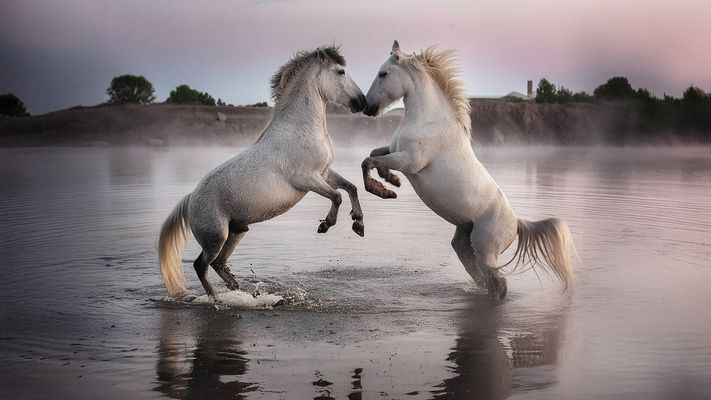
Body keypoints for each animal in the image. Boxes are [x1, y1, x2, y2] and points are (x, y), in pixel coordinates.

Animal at [158, 46, 367, 299]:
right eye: (340, 71)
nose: (362, 101)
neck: (302, 126)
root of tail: (190, 199)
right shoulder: (306, 179)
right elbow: (337, 196)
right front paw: (325, 225)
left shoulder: (324, 173)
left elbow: (351, 188)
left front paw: (359, 225)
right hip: (215, 237)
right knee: (201, 266)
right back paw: (217, 299)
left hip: (237, 231)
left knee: (218, 264)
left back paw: (242, 292)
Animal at [361, 41, 574, 299]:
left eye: (383, 74)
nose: (367, 107)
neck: (427, 119)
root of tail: (517, 223)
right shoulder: (394, 152)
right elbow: (373, 156)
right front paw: (390, 181)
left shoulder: (410, 162)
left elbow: (367, 162)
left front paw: (380, 191)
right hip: (463, 242)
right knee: (484, 278)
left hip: (485, 250)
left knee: (499, 283)